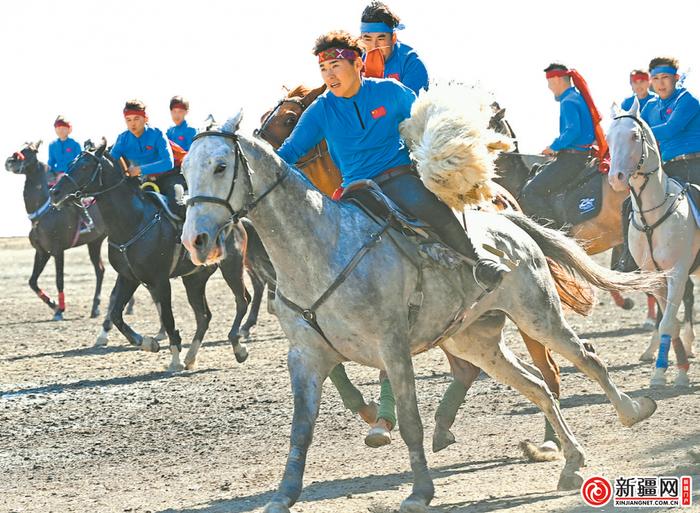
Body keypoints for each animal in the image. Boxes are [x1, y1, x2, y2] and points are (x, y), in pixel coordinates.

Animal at [5, 140, 107, 322]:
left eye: (30, 151)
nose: (10, 161)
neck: (42, 212)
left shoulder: (58, 251)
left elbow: (59, 280)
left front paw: (60, 309)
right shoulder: (42, 251)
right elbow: (32, 281)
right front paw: (53, 304)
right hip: (95, 242)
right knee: (100, 270)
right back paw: (98, 307)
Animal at [50, 142, 266, 370]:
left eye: (84, 166)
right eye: (71, 163)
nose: (55, 192)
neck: (134, 222)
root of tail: (237, 220)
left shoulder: (160, 281)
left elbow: (168, 318)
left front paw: (174, 358)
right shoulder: (129, 278)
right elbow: (117, 314)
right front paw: (146, 342)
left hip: (231, 267)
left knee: (242, 300)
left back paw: (238, 346)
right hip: (194, 278)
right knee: (204, 315)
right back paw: (191, 356)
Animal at [254, 84, 600, 456]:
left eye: (290, 118)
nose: (259, 145)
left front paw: (382, 421)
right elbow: (334, 368)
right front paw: (370, 412)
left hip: (526, 313)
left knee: (548, 369)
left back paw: (550, 442)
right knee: (476, 368)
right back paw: (446, 426)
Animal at [608, 98, 696, 386]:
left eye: (635, 135)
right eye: (609, 138)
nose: (616, 177)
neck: (652, 217)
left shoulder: (677, 271)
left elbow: (668, 321)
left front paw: (670, 374)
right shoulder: (654, 276)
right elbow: (669, 321)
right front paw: (671, 370)